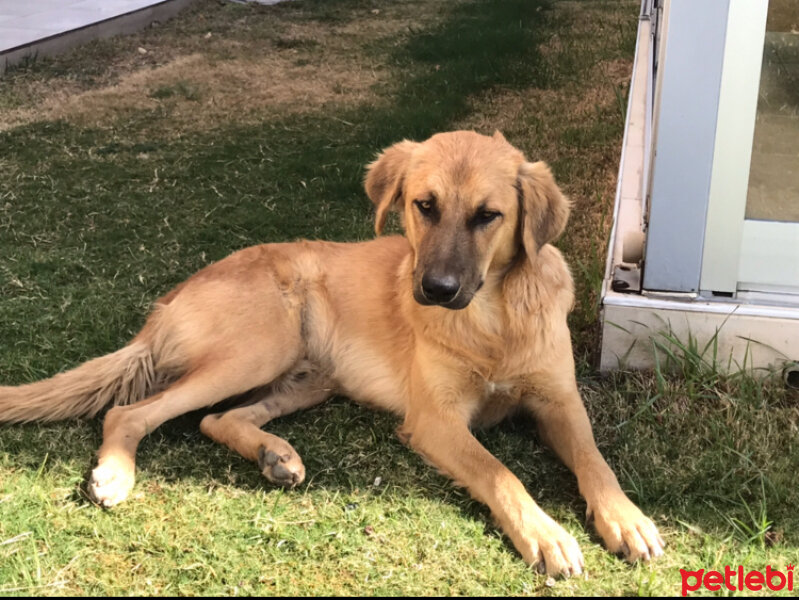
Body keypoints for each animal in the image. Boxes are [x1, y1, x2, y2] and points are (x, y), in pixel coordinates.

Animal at [0, 131, 664, 576]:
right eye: (424, 205)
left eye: (488, 216)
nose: (435, 290)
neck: (492, 319)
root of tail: (167, 304)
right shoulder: (436, 421)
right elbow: (500, 472)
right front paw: (545, 534)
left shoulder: (558, 400)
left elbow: (594, 459)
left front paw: (626, 518)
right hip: (261, 347)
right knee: (131, 412)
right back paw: (115, 472)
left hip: (307, 378)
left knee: (219, 418)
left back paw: (274, 455)